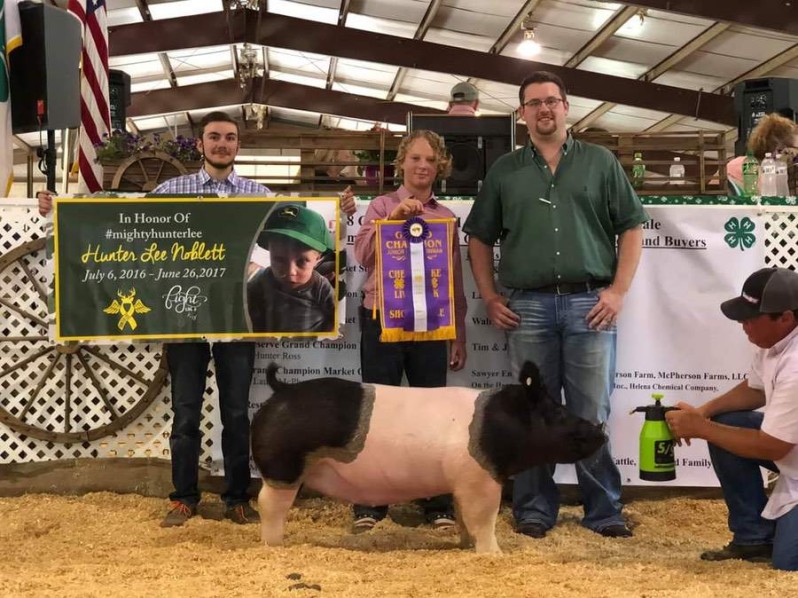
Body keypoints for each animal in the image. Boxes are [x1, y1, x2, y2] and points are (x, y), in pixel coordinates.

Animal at [253, 358, 608, 556]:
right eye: (557, 412)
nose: (600, 431)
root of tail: (281, 389)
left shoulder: (463, 482)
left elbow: (465, 516)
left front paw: (465, 544)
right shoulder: (481, 477)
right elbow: (484, 518)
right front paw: (495, 554)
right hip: (283, 468)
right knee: (268, 505)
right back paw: (275, 545)